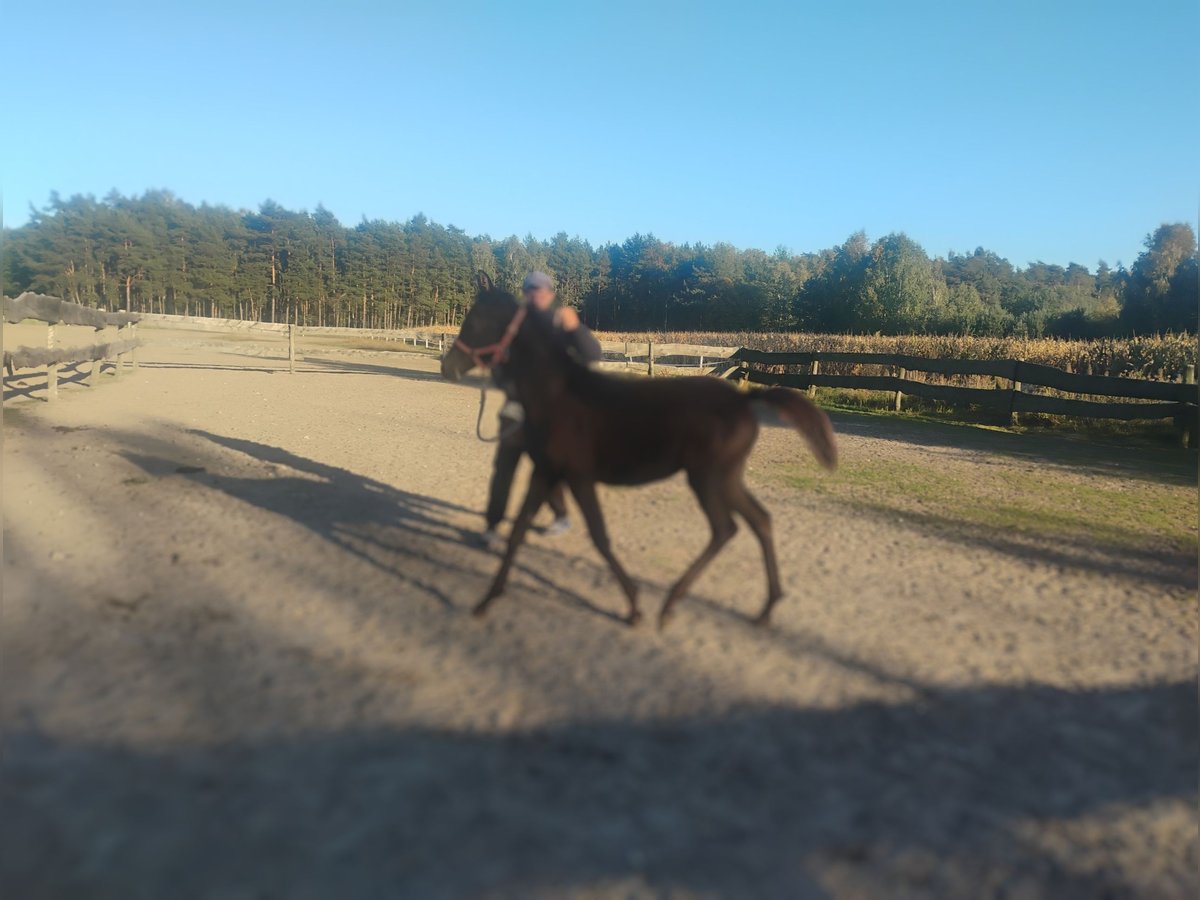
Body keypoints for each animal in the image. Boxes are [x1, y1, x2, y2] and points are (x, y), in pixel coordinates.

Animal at [441, 278, 835, 628]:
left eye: (477, 321)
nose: (449, 367)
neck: (557, 397)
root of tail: (745, 399)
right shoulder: (547, 472)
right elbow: (519, 531)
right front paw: (485, 601)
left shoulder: (578, 475)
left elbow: (600, 537)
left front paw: (633, 608)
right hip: (726, 477)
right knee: (760, 520)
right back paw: (766, 609)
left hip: (707, 477)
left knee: (725, 529)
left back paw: (670, 606)